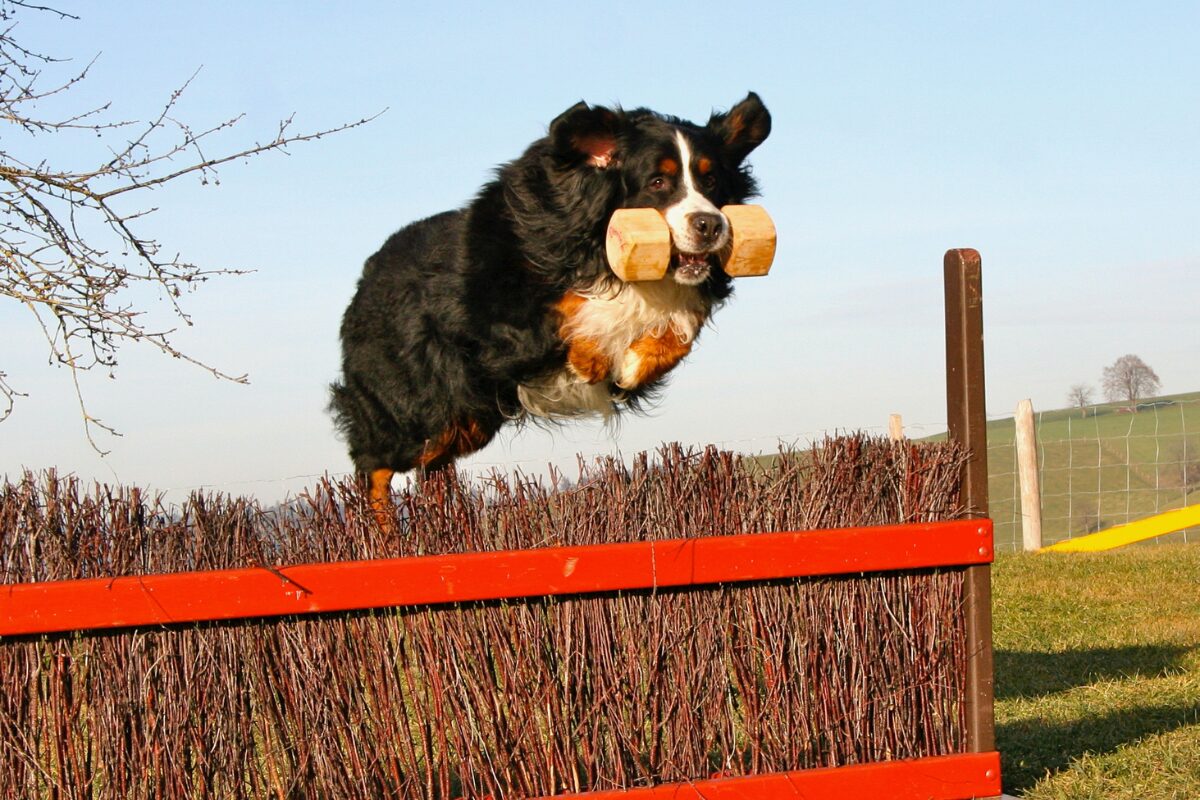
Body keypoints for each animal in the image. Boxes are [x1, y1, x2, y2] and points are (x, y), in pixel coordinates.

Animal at [333, 90, 772, 515]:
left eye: (711, 180)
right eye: (658, 181)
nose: (710, 224)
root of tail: (367, 274)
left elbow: (678, 328)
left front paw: (631, 366)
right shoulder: (497, 310)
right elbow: (563, 314)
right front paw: (591, 360)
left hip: (470, 416)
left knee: (434, 464)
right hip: (414, 399)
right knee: (377, 462)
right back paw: (380, 529)